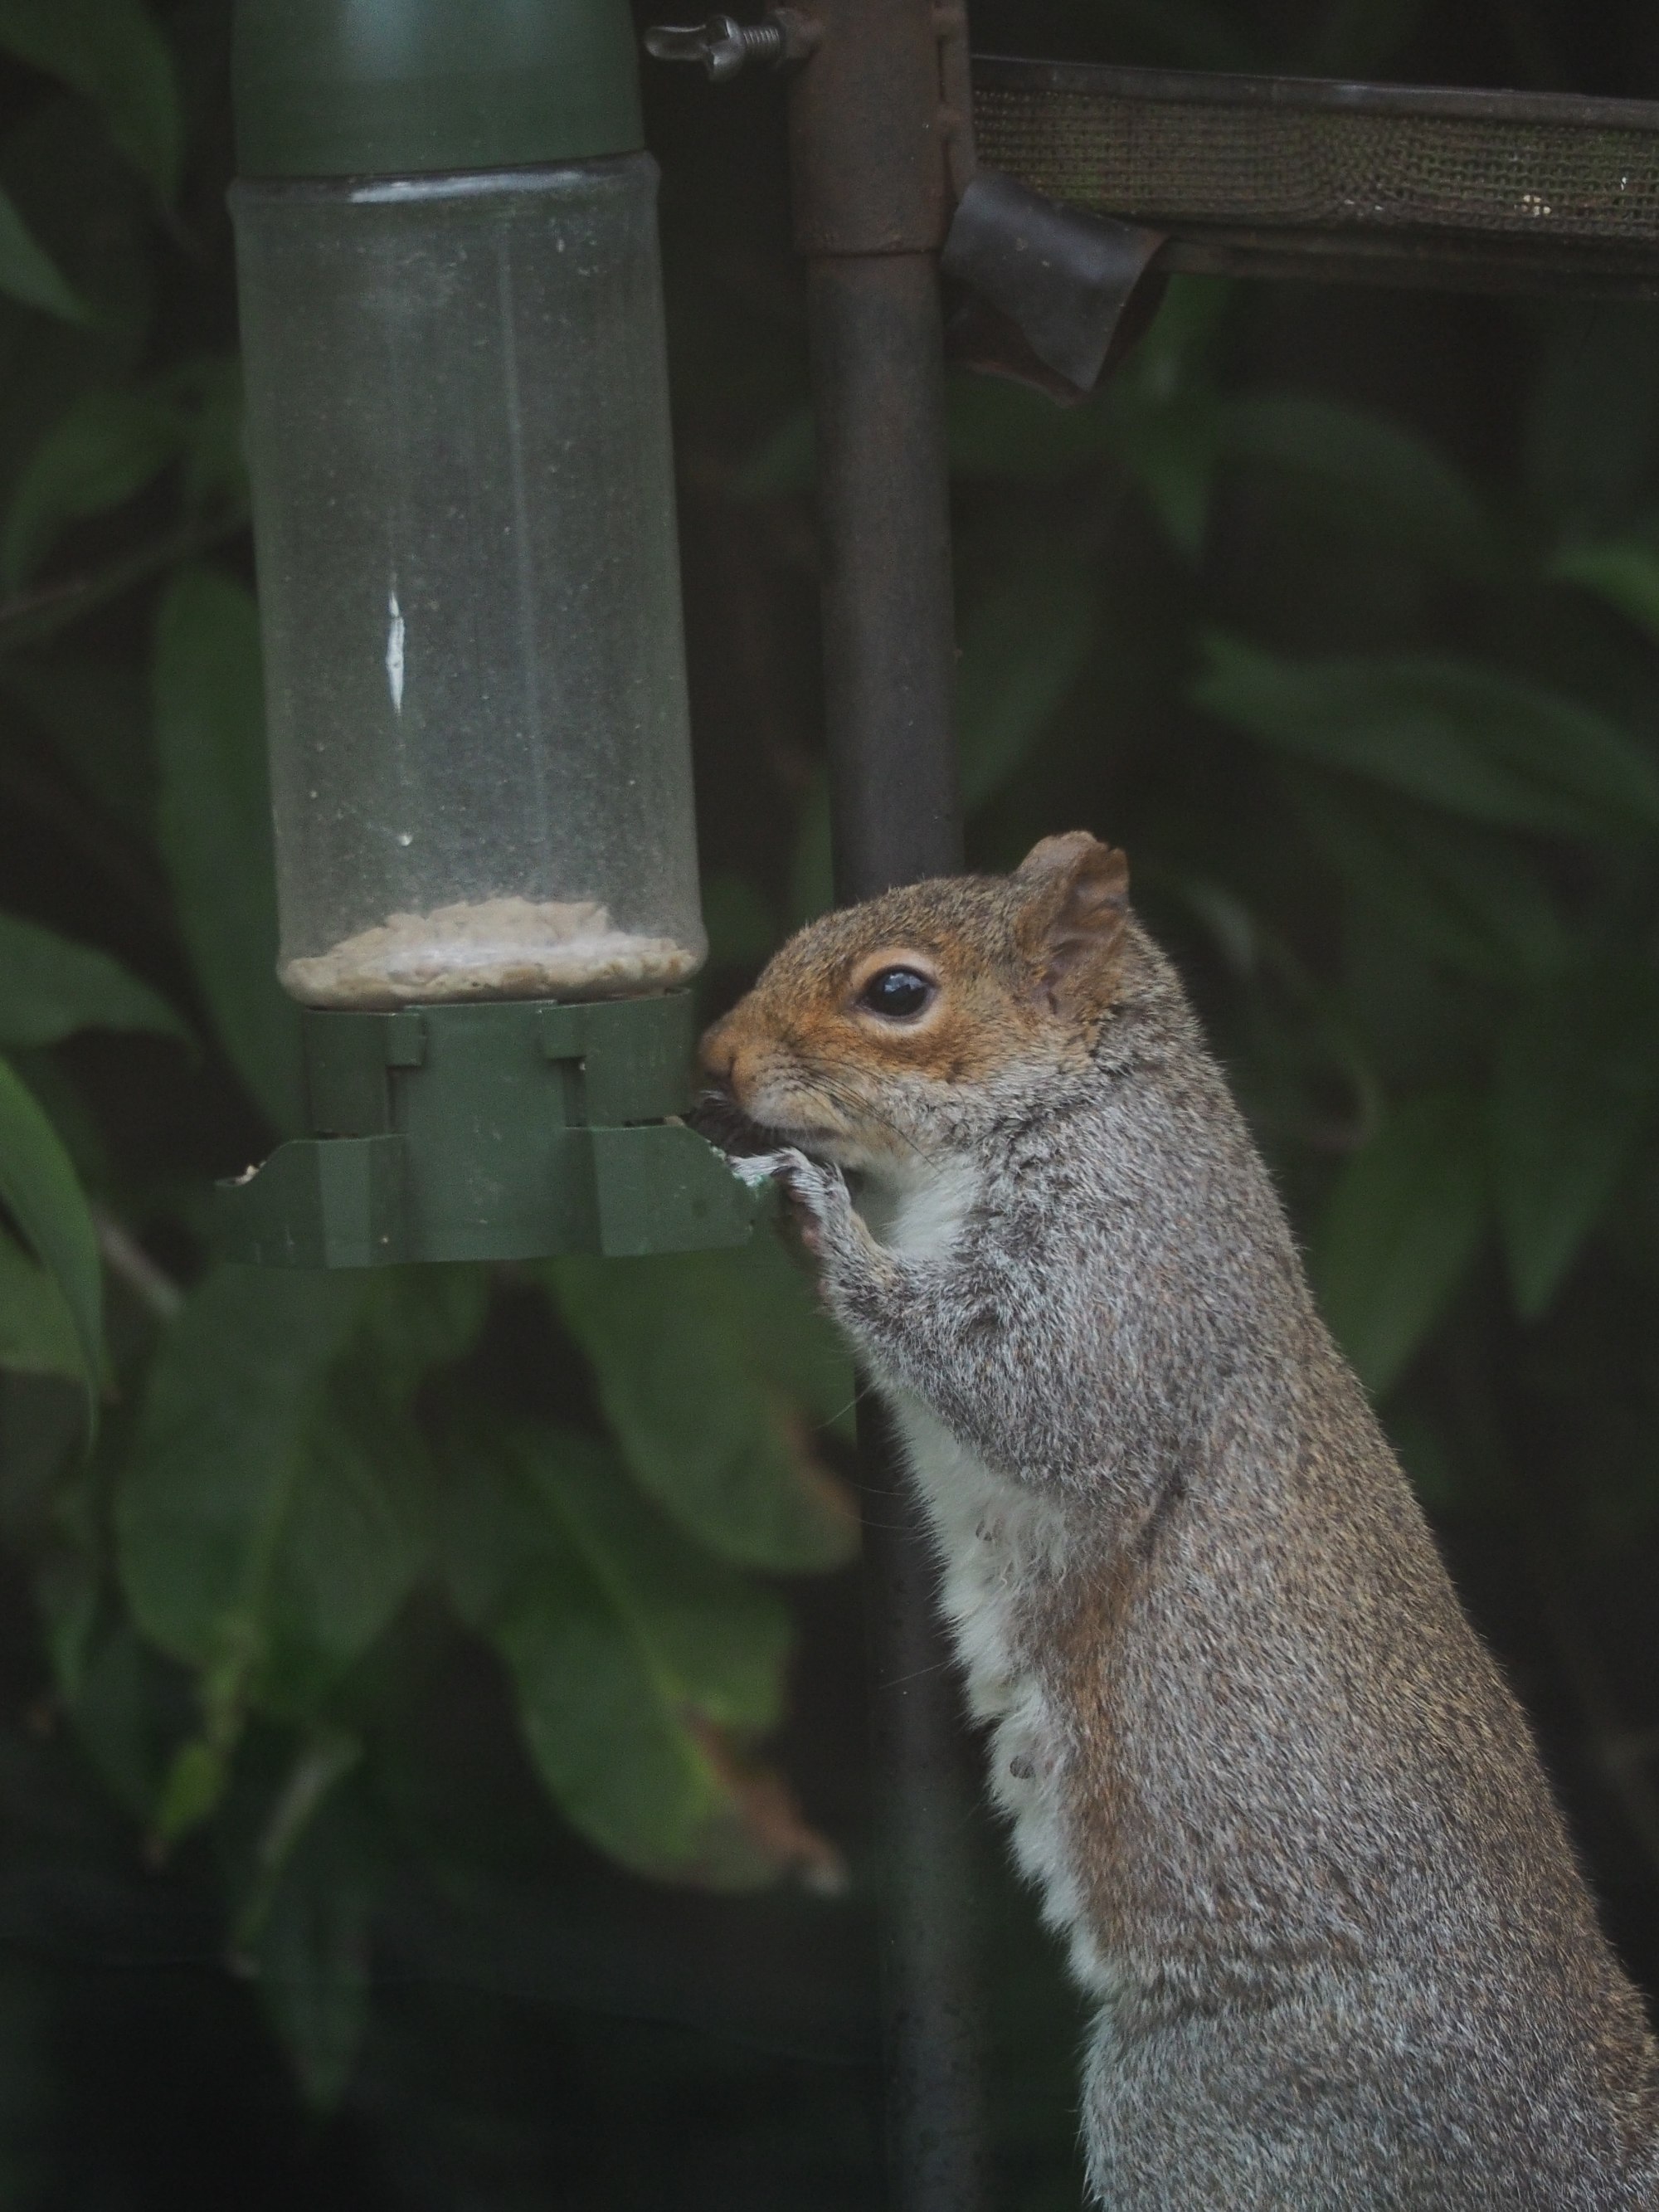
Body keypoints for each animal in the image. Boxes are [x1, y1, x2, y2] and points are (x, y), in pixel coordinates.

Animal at [699, 830, 1659, 2210]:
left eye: (897, 993)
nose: (713, 1058)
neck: (1076, 1106)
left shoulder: (1124, 1270)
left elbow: (1036, 1396)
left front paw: (822, 1221)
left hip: (1207, 2112)